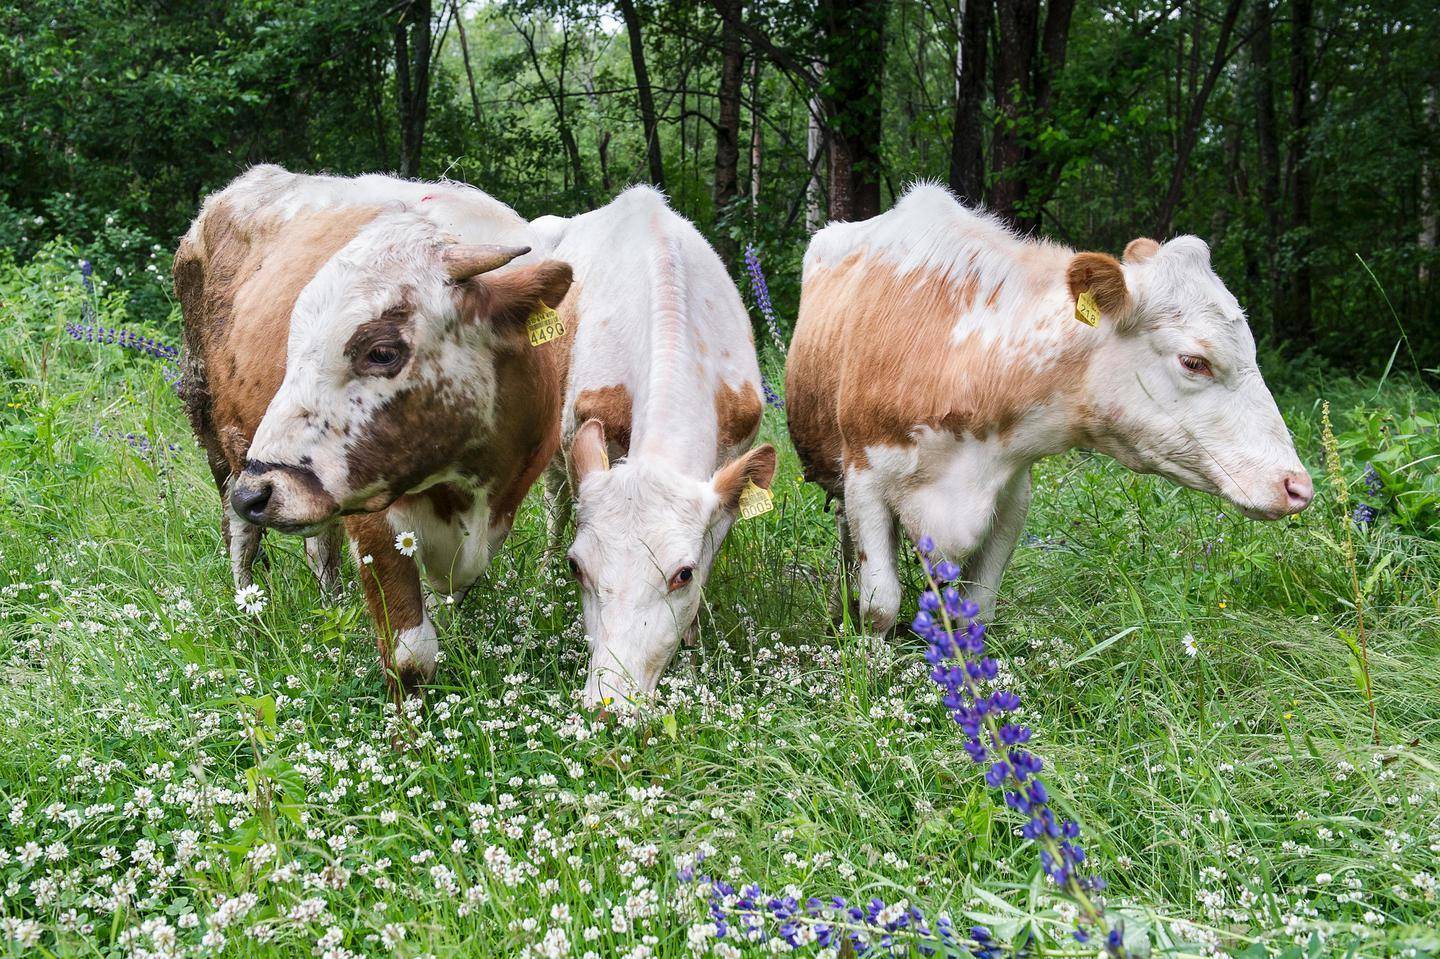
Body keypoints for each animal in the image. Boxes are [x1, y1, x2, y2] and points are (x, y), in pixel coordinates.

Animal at [172, 160, 567, 691]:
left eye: (381, 352)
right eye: (293, 349)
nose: (258, 493)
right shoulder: (375, 520)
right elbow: (411, 654)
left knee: (320, 549)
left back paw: (331, 608)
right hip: (216, 438)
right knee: (239, 538)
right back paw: (248, 617)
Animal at [789, 182, 1319, 630]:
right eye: (1195, 361)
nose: (1297, 486)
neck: (963, 362)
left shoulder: (1012, 496)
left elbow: (978, 605)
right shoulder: (866, 479)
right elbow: (880, 603)